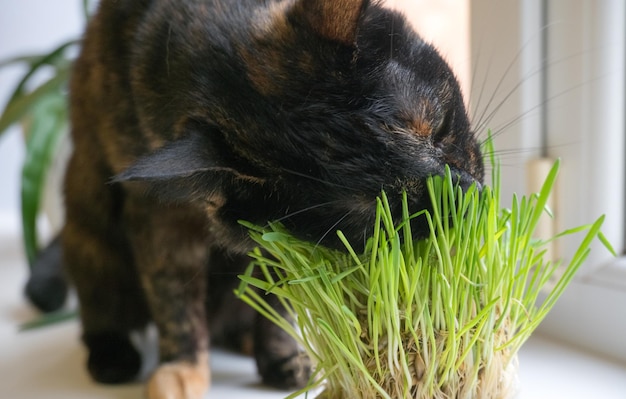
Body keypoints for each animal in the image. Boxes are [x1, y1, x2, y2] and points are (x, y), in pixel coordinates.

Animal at [25, 0, 482, 399]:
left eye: (440, 126)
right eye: (379, 217)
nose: (466, 198)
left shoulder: (275, 244)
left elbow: (278, 300)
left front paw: (280, 356)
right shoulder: (160, 217)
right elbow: (173, 299)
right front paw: (182, 370)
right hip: (90, 237)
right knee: (101, 309)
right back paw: (112, 355)